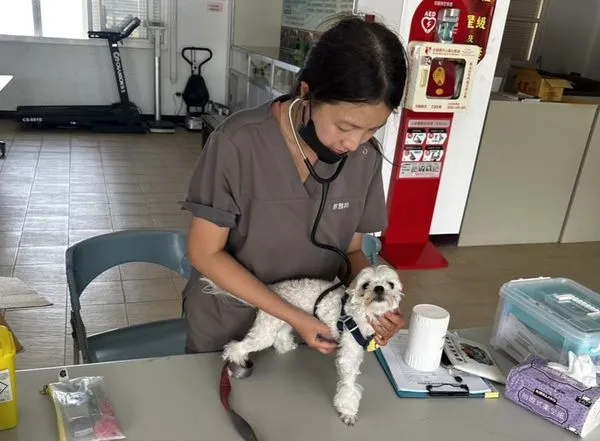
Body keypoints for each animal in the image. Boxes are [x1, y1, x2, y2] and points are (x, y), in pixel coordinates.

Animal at [200, 262, 404, 424]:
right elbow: (349, 383)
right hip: (265, 331)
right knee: (235, 346)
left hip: (283, 320)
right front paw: (347, 410)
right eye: (365, 285)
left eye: (391, 284)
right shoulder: (349, 352)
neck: (361, 313)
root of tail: (272, 289)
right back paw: (235, 361)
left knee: (280, 337)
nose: (379, 288)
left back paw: (286, 346)